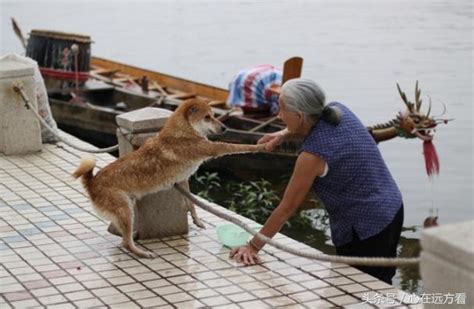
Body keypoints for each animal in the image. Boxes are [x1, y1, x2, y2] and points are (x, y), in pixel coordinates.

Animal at [73, 99, 266, 258]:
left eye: (214, 115)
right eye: (207, 117)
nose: (225, 128)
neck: (184, 132)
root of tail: (92, 183)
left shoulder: (182, 180)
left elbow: (191, 202)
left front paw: (196, 220)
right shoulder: (212, 149)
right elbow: (236, 147)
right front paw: (261, 146)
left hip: (127, 208)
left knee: (119, 234)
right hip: (125, 210)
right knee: (127, 243)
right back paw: (141, 253)